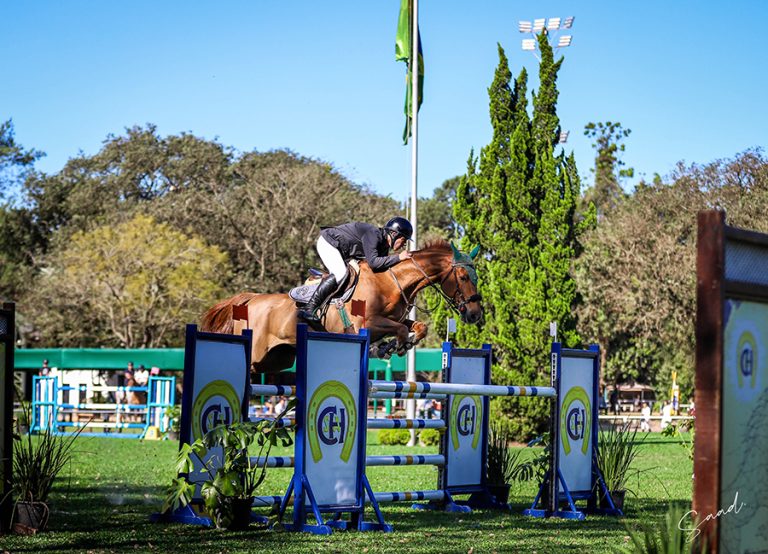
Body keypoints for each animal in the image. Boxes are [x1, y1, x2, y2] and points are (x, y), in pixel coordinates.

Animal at [201, 239, 484, 374]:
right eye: (463, 277)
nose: (474, 314)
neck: (390, 281)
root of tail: (248, 300)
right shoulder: (366, 325)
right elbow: (401, 330)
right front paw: (391, 347)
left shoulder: (395, 318)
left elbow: (417, 326)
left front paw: (395, 345)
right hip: (257, 353)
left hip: (276, 359)